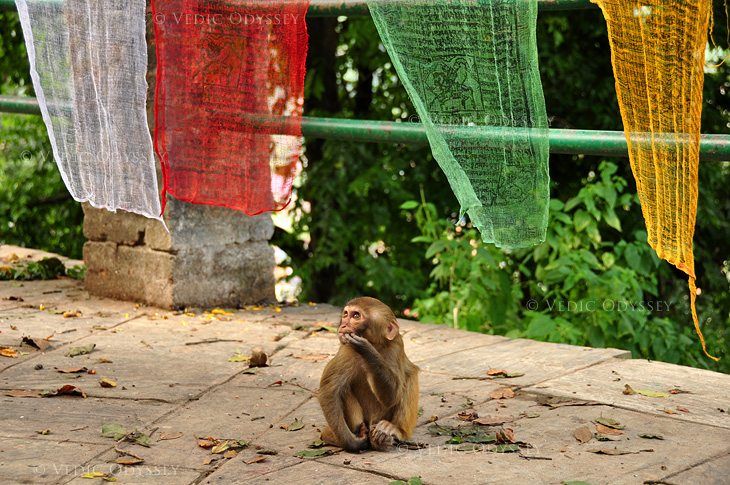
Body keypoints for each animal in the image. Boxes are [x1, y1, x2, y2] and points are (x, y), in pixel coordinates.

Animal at [318, 297, 419, 452]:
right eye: (346, 314)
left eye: (356, 316)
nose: (344, 325)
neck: (376, 344)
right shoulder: (347, 350)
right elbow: (329, 390)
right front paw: (352, 442)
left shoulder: (395, 347)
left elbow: (393, 396)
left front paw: (366, 350)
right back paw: (345, 433)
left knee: (411, 376)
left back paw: (391, 432)